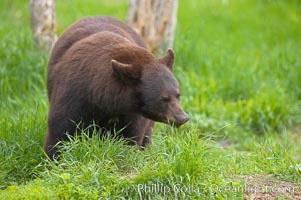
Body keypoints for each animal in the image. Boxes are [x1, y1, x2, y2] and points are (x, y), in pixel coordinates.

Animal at [44, 16, 188, 158]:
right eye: (164, 98)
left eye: (178, 95)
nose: (183, 117)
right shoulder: (74, 94)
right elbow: (60, 130)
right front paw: (53, 158)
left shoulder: (132, 115)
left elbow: (130, 138)